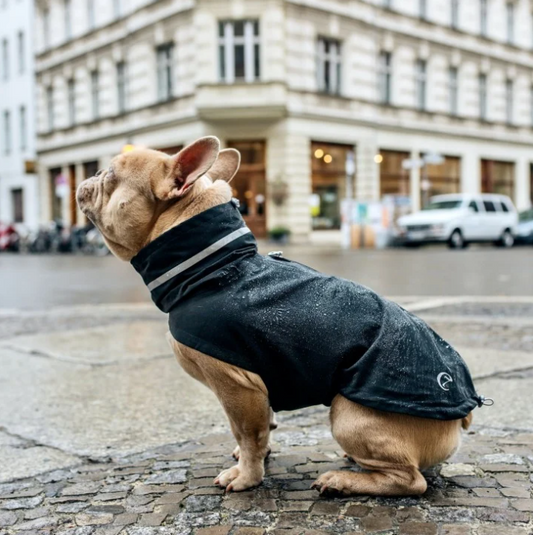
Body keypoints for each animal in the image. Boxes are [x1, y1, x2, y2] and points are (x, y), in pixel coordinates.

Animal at [77, 137, 484, 498]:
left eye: (110, 175)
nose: (91, 175)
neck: (217, 266)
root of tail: (463, 409)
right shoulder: (257, 385)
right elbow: (263, 427)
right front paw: (255, 457)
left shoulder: (236, 386)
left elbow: (246, 433)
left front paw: (246, 476)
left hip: (349, 415)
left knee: (410, 480)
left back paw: (342, 481)